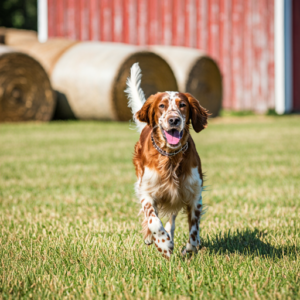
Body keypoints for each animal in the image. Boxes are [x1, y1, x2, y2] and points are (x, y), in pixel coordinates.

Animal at [125, 62, 209, 258]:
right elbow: (153, 220)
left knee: (172, 219)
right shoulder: (147, 191)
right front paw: (163, 244)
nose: (174, 120)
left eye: (183, 105)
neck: (171, 157)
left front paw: (188, 249)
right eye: (162, 105)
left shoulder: (193, 193)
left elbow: (194, 230)